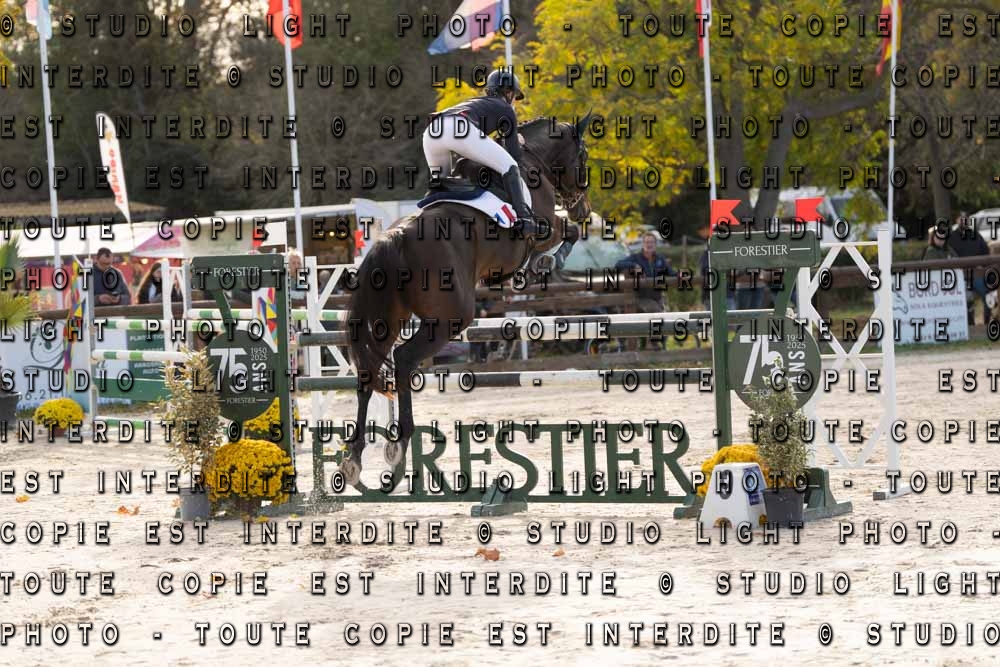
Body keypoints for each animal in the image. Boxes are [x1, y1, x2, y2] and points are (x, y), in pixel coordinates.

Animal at [341, 114, 594, 484]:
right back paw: (399, 449)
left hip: (389, 319)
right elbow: (567, 235)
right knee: (404, 359)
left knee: (368, 372)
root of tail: (395, 237)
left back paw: (355, 459)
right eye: (584, 157)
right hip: (451, 318)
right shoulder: (547, 226)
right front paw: (547, 263)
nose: (583, 210)